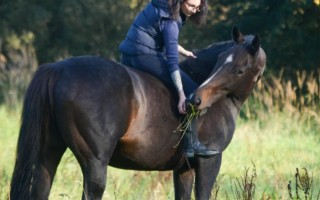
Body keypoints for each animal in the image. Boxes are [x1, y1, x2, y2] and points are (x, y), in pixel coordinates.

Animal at [10, 27, 264, 199]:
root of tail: (58, 69)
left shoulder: (183, 169)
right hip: (94, 164)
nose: (195, 100)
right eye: (221, 61)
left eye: (239, 69)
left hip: (48, 155)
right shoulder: (209, 162)